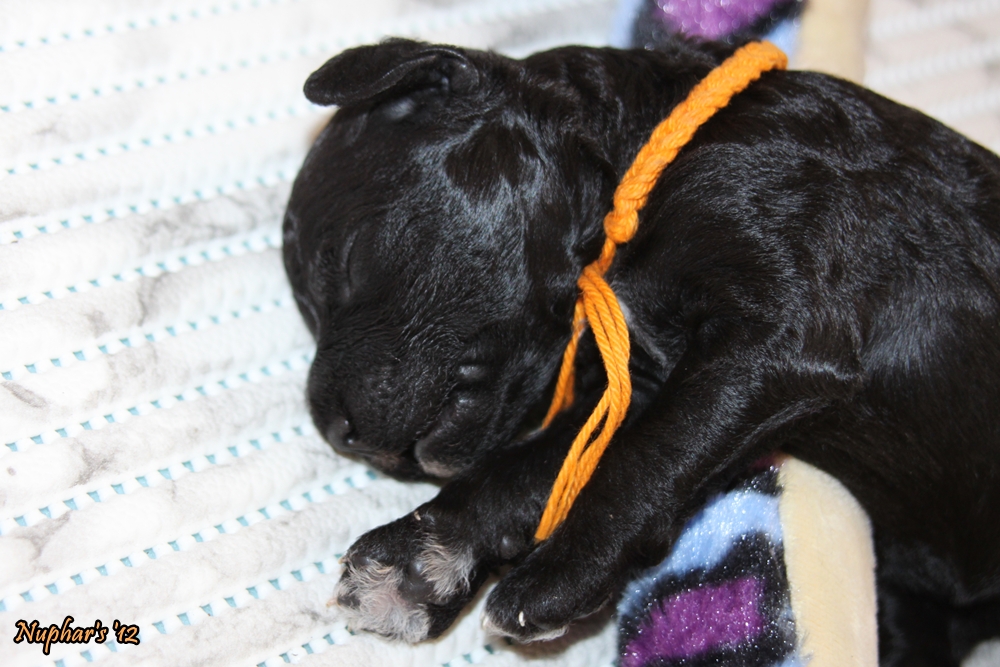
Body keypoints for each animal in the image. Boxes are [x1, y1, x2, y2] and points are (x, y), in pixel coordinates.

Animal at [282, 36, 1000, 665]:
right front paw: (417, 559)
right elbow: (538, 465)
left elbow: (644, 458)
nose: (338, 433)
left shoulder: (785, 329)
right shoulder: (647, 379)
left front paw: (556, 578)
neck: (651, 153)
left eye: (348, 260)